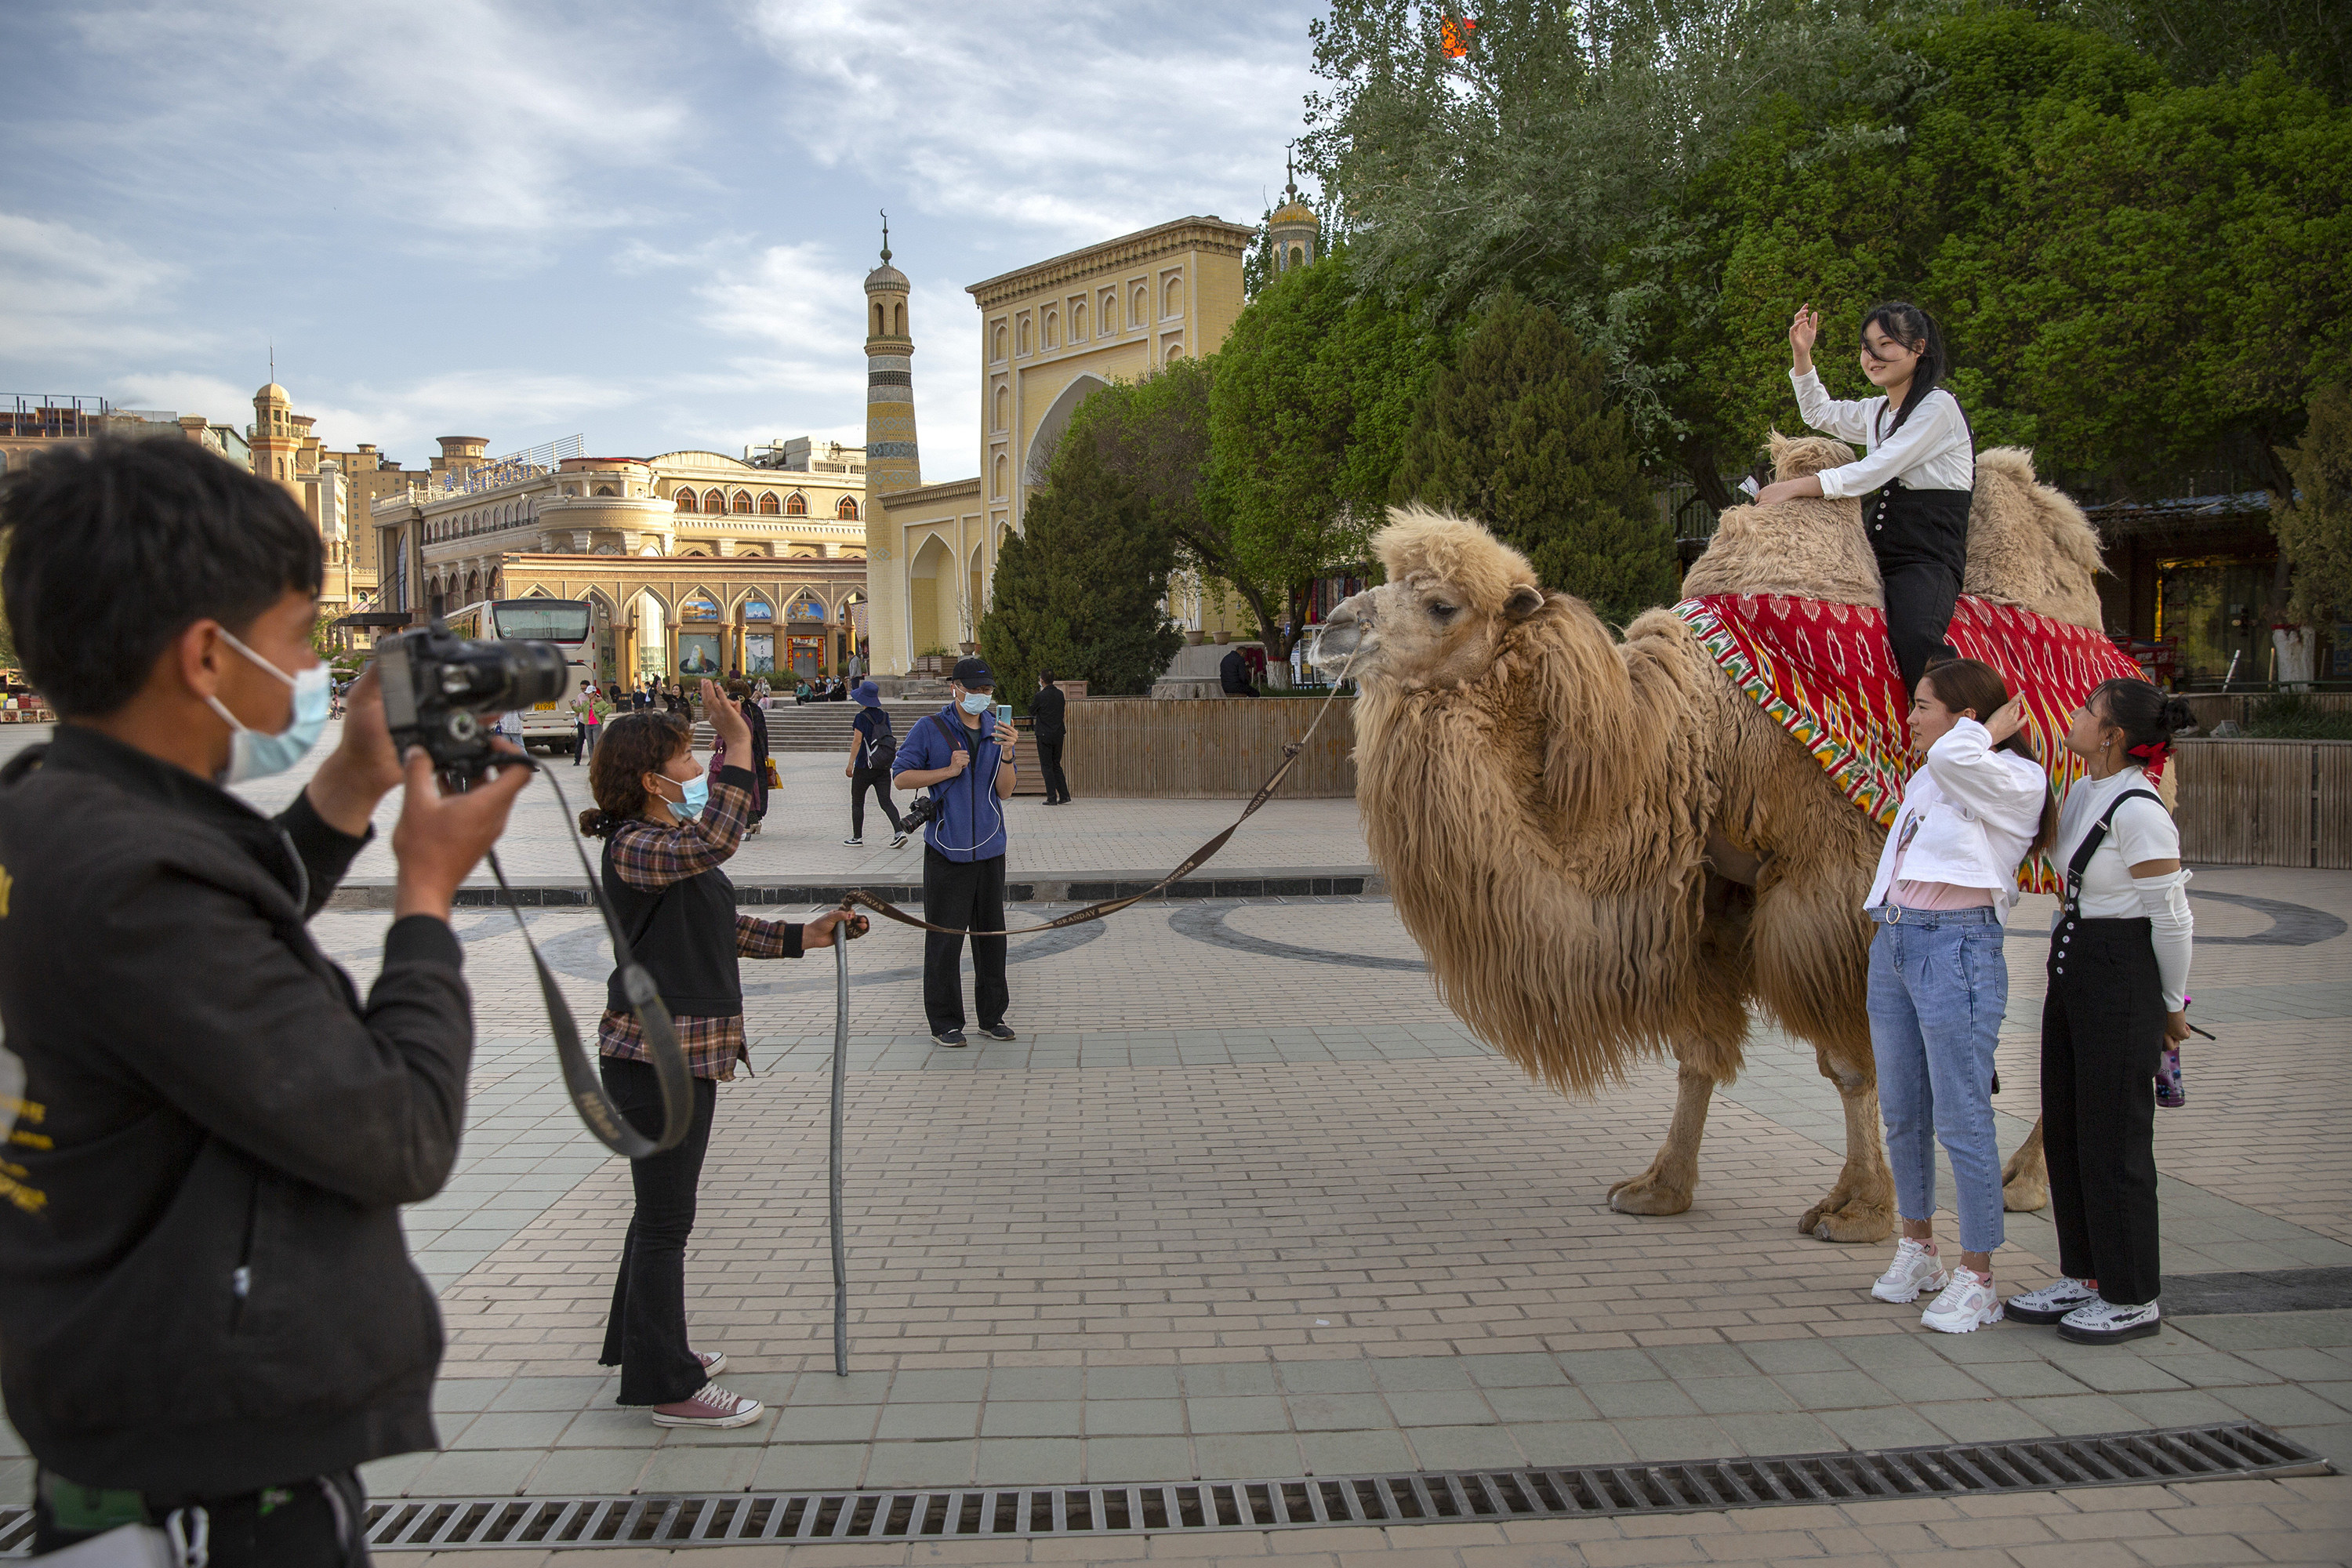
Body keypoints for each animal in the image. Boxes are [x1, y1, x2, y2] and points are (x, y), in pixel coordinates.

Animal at [1327, 434, 2117, 1232]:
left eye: (1442, 605)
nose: (1332, 627)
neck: (1691, 736)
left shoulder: (1830, 886)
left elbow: (1853, 1057)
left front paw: (1858, 1210)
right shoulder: (1711, 889)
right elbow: (1698, 1048)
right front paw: (1661, 1186)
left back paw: (2023, 1179)